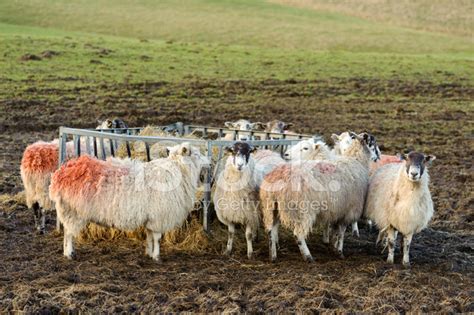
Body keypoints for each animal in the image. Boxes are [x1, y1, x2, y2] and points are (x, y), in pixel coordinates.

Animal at [48, 143, 209, 262]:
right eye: (196, 154)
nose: (209, 162)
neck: (178, 170)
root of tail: (60, 174)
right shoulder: (159, 216)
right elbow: (157, 238)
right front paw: (157, 257)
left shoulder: (151, 218)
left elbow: (149, 236)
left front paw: (148, 253)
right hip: (73, 210)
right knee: (69, 233)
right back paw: (69, 253)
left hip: (69, 210)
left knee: (67, 232)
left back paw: (67, 252)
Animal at [260, 132, 374, 262]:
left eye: (305, 148)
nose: (286, 154)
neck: (356, 160)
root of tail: (277, 176)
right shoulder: (348, 210)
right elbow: (341, 233)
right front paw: (339, 251)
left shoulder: (337, 209)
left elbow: (335, 231)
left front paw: (333, 245)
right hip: (303, 210)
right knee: (298, 234)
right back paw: (308, 256)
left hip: (271, 207)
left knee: (271, 230)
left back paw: (273, 255)